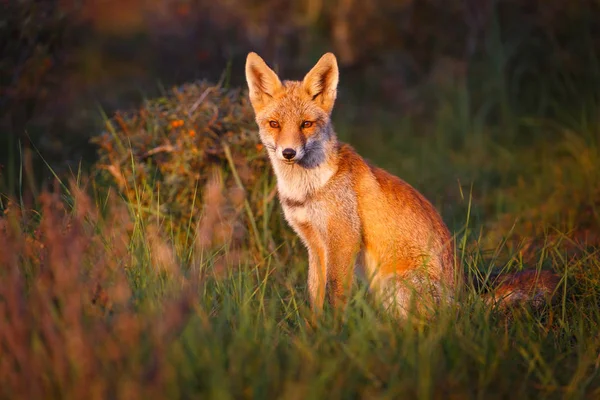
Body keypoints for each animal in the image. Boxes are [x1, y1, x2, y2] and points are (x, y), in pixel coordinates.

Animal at [243, 50, 556, 318]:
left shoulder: (343, 238)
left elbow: (335, 295)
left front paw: (334, 334)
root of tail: (463, 299)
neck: (308, 190)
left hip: (392, 285)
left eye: (306, 125)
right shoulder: (314, 244)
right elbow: (315, 297)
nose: (288, 153)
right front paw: (314, 333)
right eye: (274, 124)